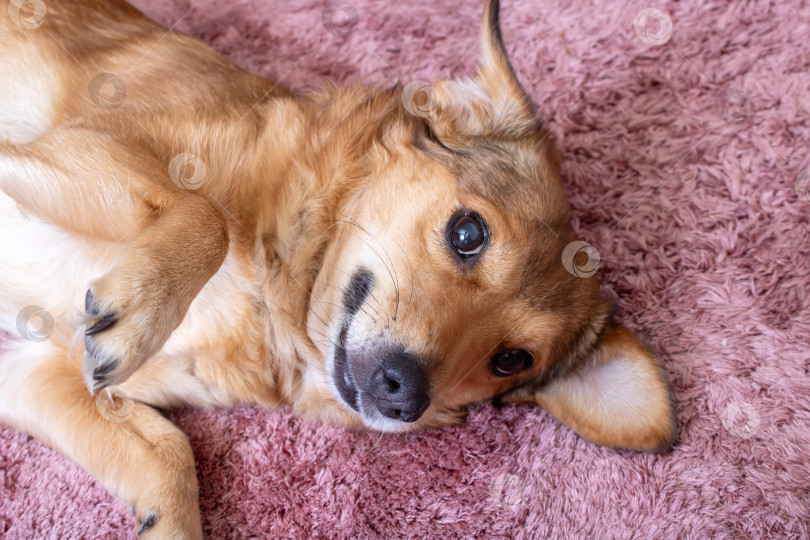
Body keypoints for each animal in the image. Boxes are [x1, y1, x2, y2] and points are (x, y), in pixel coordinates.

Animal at [0, 0, 676, 536]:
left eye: (512, 360)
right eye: (467, 234)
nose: (404, 395)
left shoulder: (34, 372)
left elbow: (169, 453)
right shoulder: (67, 145)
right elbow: (205, 216)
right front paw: (141, 313)